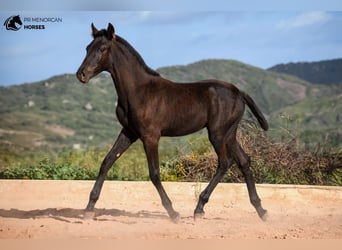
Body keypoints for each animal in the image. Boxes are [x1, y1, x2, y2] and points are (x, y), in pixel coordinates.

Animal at [76, 22, 268, 220]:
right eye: (87, 48)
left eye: (102, 48)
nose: (81, 74)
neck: (138, 91)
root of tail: (239, 93)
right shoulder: (129, 132)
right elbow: (106, 162)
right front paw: (89, 208)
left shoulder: (150, 136)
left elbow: (154, 173)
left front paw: (172, 212)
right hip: (229, 134)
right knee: (244, 161)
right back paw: (260, 209)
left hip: (217, 134)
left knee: (224, 162)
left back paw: (199, 208)